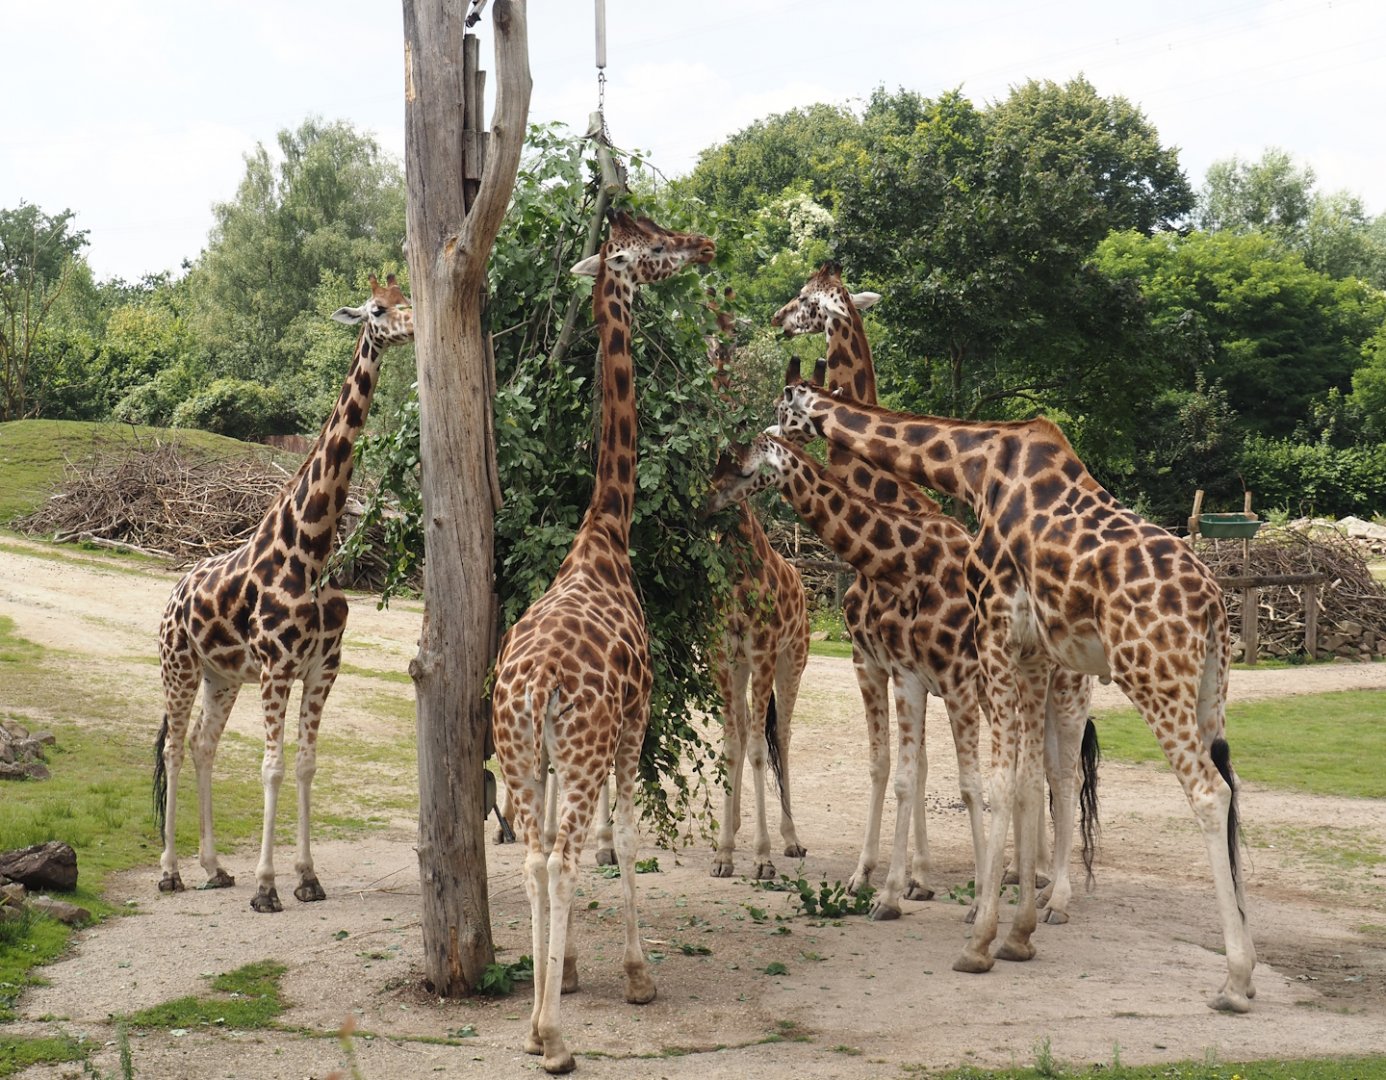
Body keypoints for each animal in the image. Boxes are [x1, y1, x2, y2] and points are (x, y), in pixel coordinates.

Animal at [152, 273, 414, 913]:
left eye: (406, 299)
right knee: (174, 749)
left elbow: (306, 765)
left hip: (220, 676)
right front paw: (268, 886)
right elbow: (271, 767)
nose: (414, 325)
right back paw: (170, 872)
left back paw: (214, 868)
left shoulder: (322, 667)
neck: (312, 548)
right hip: (178, 665)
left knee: (203, 745)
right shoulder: (277, 667)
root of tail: (172, 595)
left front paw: (307, 878)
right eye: (377, 309)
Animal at [490, 211, 714, 1074]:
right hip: (586, 743)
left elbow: (560, 847)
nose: (704, 246)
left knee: (534, 855)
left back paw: (535, 1025)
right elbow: (624, 835)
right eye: (651, 247)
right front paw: (636, 974)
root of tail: (535, 685)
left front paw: (572, 970)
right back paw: (554, 1041)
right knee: (564, 855)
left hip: (519, 746)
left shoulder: (553, 757)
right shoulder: (632, 723)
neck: (605, 535)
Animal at [770, 267, 1096, 919]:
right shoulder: (886, 663)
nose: (776, 318)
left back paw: (1054, 892)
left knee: (1063, 775)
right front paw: (898, 879)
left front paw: (901, 881)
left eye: (806, 301)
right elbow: (905, 769)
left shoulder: (908, 667)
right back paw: (1029, 876)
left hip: (1065, 689)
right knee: (1041, 771)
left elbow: (926, 773)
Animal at [773, 377, 1256, 1012]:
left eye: (780, 409)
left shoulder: (993, 632)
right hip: (1205, 690)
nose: (764, 437)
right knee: (1223, 784)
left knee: (1200, 792)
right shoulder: (1022, 653)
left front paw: (978, 937)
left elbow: (996, 784)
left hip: (1149, 676)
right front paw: (1014, 932)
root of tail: (1216, 604)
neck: (975, 468)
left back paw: (1233, 979)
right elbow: (1021, 784)